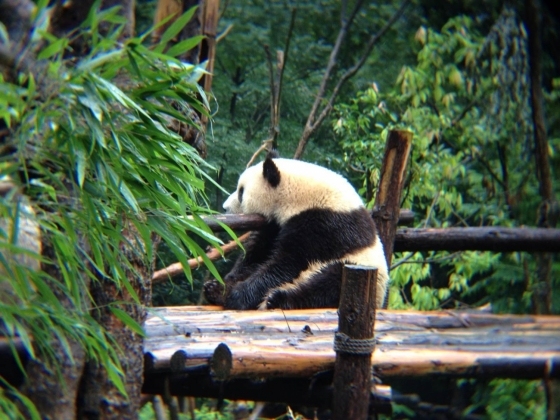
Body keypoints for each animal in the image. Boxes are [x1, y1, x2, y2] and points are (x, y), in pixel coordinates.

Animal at [203, 153, 392, 310]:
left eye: (241, 192)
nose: (225, 207)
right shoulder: (275, 224)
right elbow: (257, 254)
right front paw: (220, 286)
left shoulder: (323, 224)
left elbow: (288, 264)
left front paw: (236, 295)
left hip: (362, 268)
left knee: (329, 283)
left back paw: (278, 299)